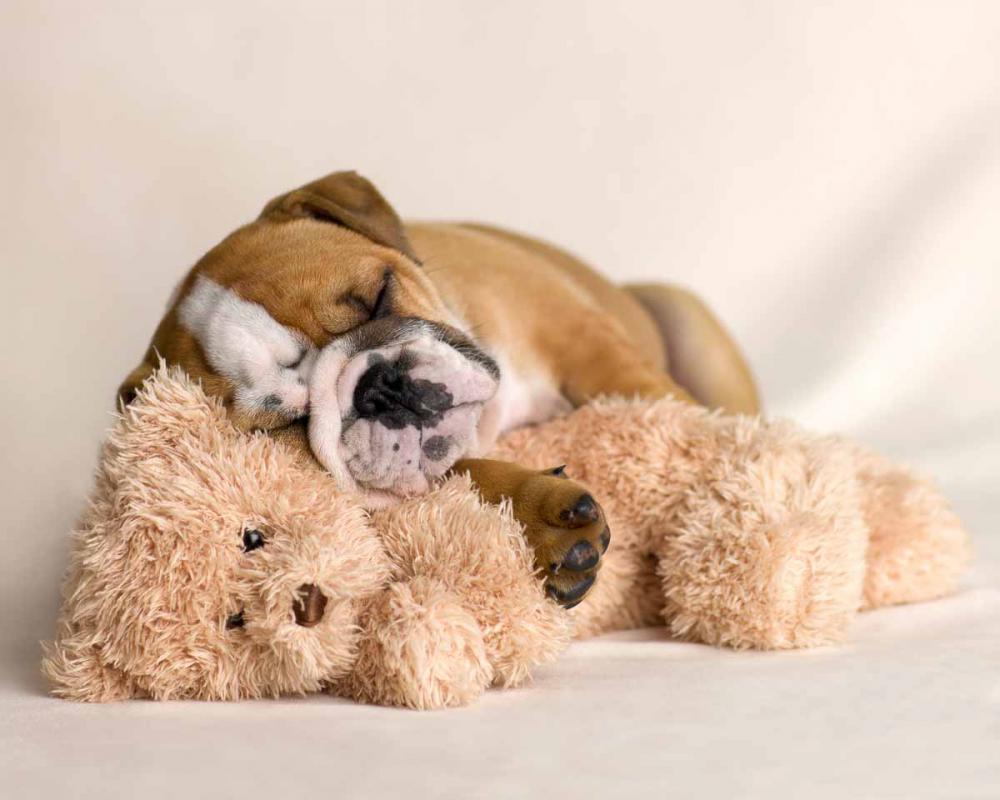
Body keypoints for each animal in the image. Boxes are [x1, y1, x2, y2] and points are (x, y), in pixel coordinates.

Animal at [120, 170, 759, 606]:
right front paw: (540, 519)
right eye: (289, 424)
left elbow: (646, 394)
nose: (378, 388)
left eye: (379, 296)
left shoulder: (579, 337)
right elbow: (464, 475)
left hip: (685, 317)